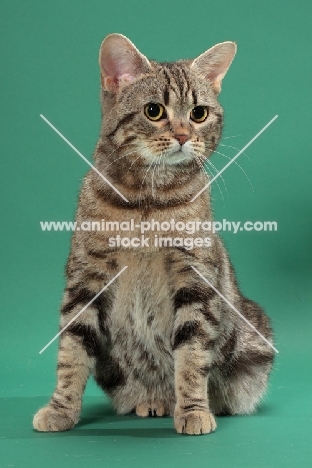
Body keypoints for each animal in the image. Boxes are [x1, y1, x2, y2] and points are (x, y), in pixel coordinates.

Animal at [33, 33, 274, 436]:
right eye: (154, 111)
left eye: (198, 113)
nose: (183, 135)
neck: (148, 201)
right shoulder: (86, 278)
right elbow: (71, 351)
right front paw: (61, 408)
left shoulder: (195, 278)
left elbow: (191, 357)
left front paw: (193, 410)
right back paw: (155, 401)